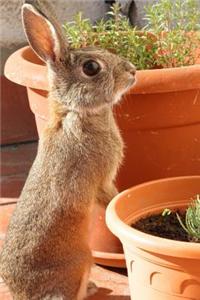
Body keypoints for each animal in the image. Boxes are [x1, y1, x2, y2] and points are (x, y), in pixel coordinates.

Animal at [0, 1, 136, 298]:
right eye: (91, 67)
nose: (132, 71)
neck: (76, 111)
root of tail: (23, 295)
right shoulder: (101, 180)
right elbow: (110, 198)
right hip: (81, 261)